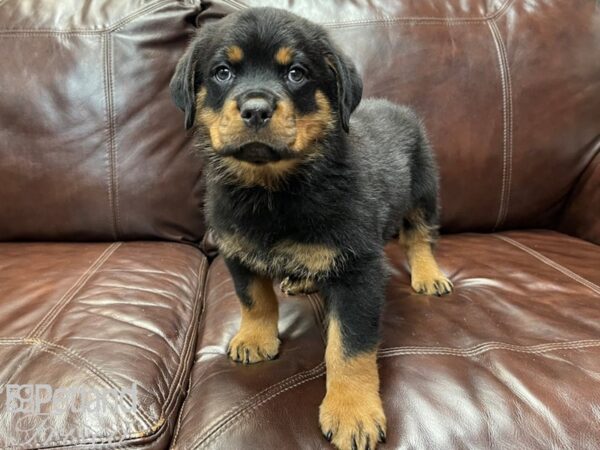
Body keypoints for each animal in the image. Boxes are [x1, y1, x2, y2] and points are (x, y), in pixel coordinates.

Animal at [171, 7, 452, 450]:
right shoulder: (235, 248)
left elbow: (349, 346)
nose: (255, 109)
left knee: (419, 237)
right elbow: (254, 298)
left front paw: (353, 411)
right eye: (222, 72)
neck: (273, 190)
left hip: (424, 189)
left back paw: (428, 275)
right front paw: (254, 339)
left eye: (297, 73)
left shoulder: (358, 270)